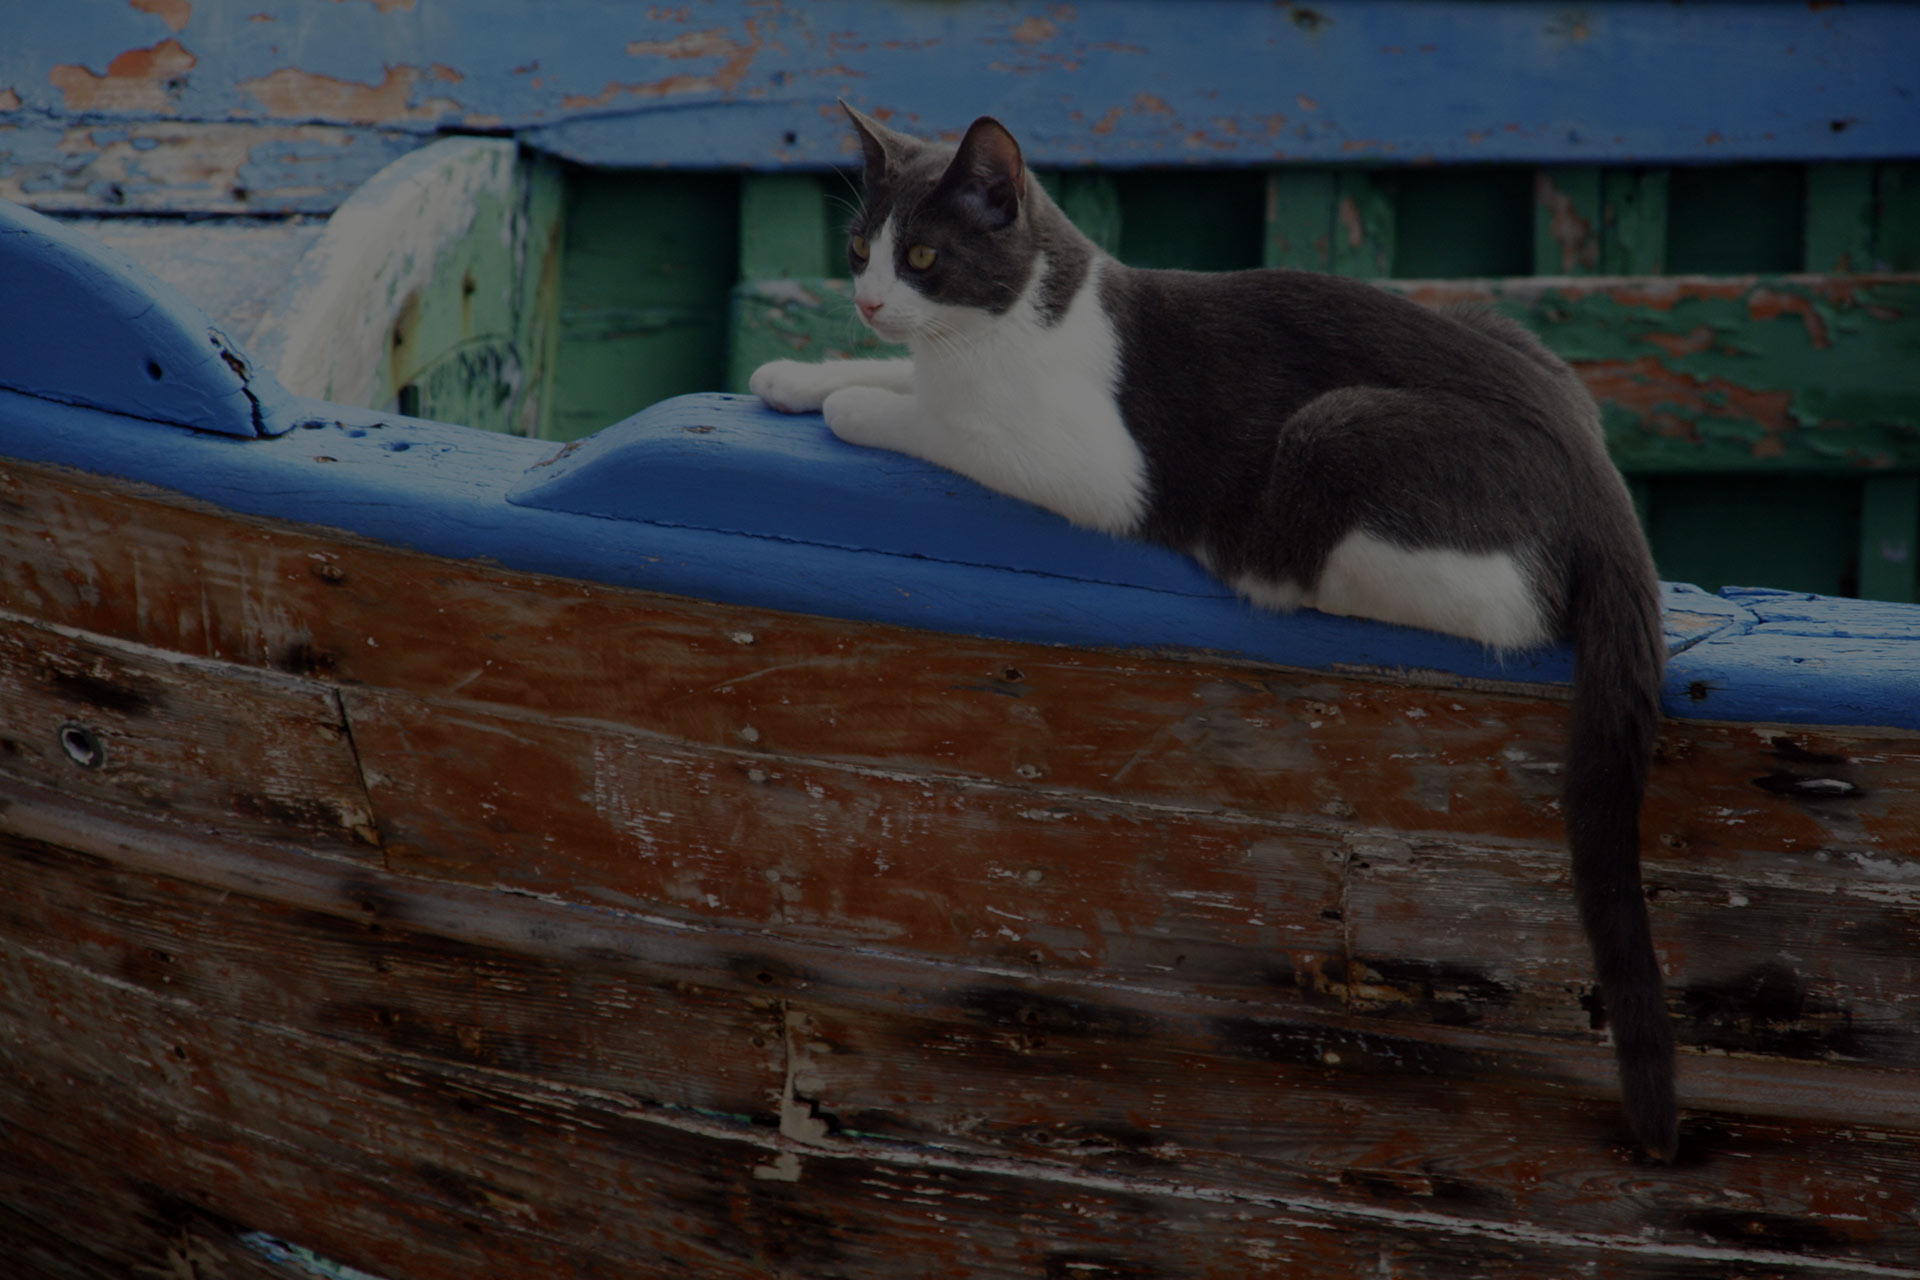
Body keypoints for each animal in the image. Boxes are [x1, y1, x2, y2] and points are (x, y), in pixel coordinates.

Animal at [748, 102, 1681, 1159]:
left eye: (922, 255)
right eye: (859, 251)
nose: (869, 302)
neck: (1012, 326)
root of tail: (1602, 488)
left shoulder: (1085, 466)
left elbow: (926, 420)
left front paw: (848, 401)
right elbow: (903, 379)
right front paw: (798, 373)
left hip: (1337, 443)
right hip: (1503, 334)